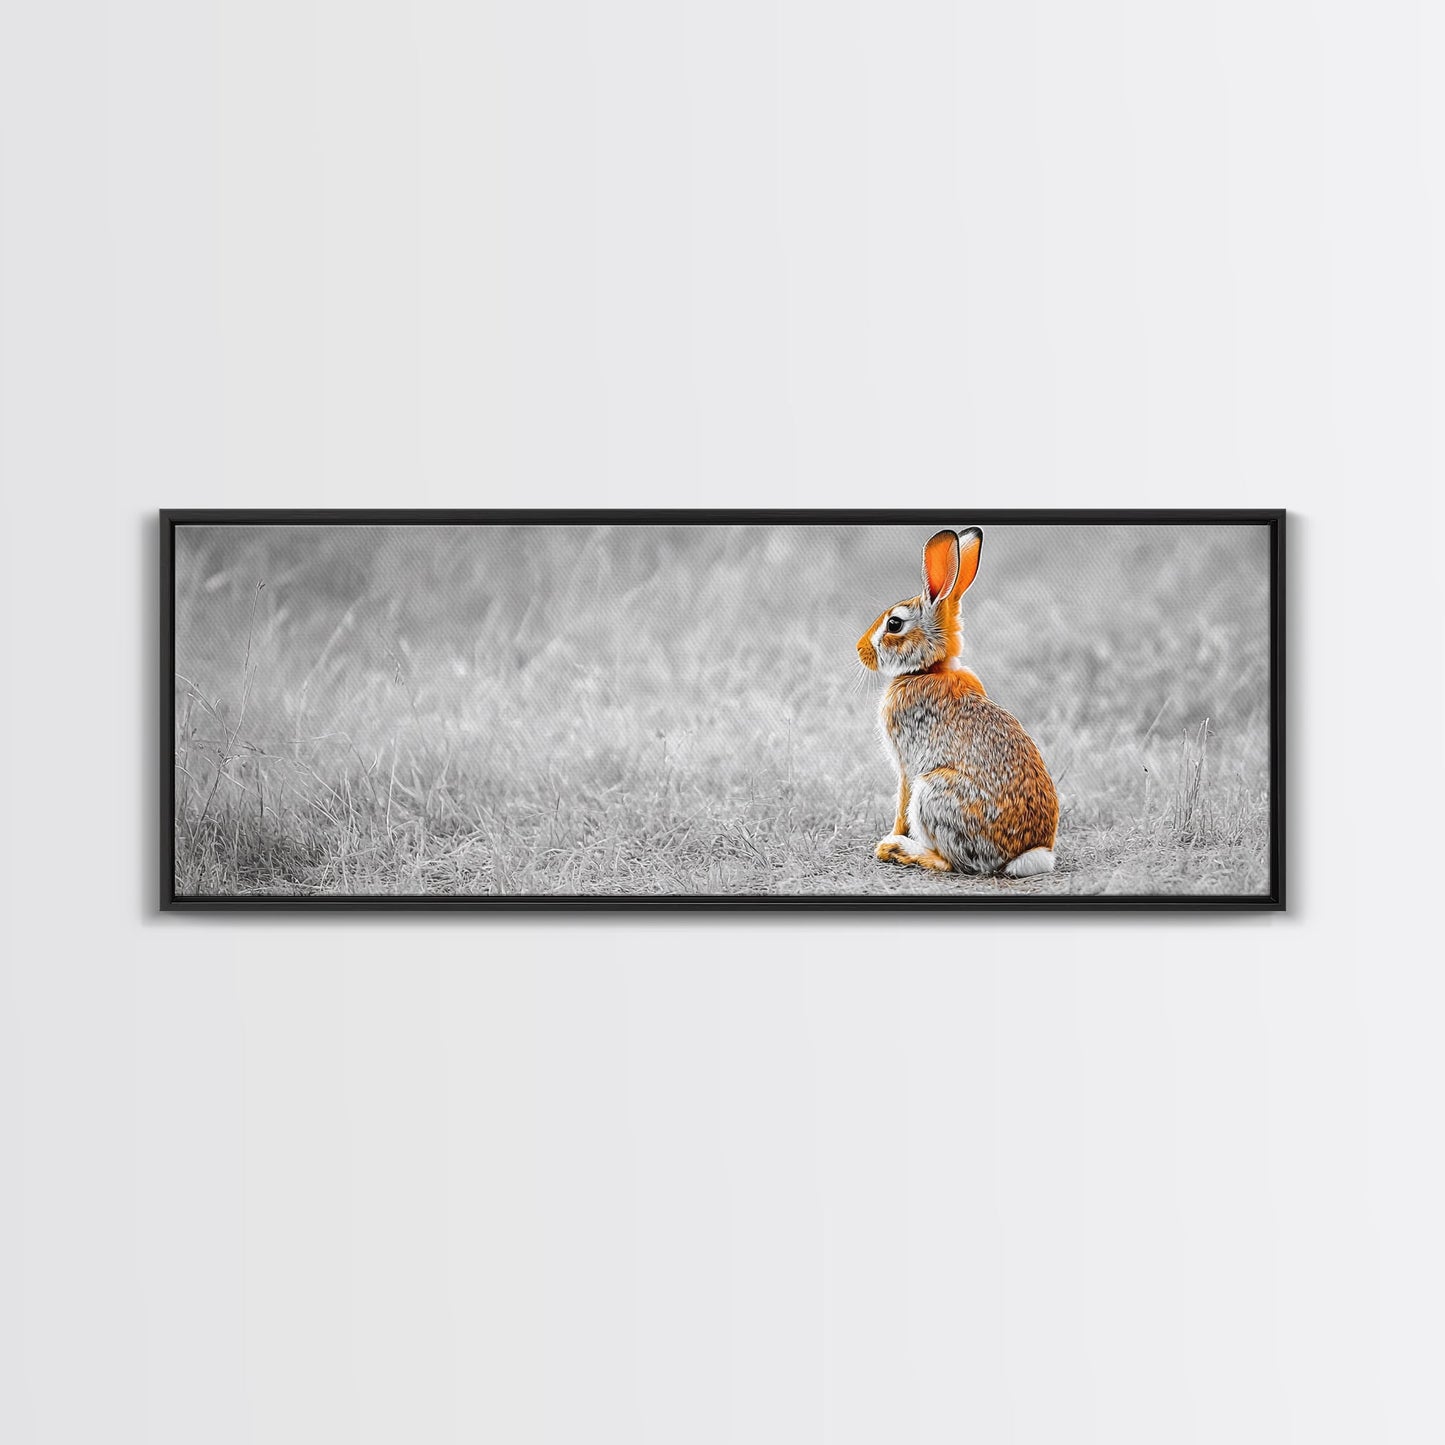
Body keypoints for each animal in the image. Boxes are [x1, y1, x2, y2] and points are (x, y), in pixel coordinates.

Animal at [856, 527, 1059, 877]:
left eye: (894, 624)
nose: (859, 649)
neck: (929, 669)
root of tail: (1028, 855)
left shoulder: (907, 765)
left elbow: (901, 803)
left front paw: (889, 838)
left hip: (933, 792)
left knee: (953, 862)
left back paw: (899, 850)